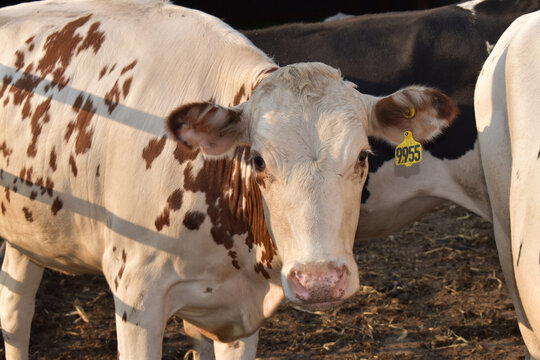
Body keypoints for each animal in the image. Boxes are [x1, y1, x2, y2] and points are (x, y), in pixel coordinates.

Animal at [0, 0, 458, 360]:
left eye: (363, 155)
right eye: (258, 160)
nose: (319, 281)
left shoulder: (239, 315)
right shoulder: (135, 297)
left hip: (30, 230)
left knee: (16, 309)